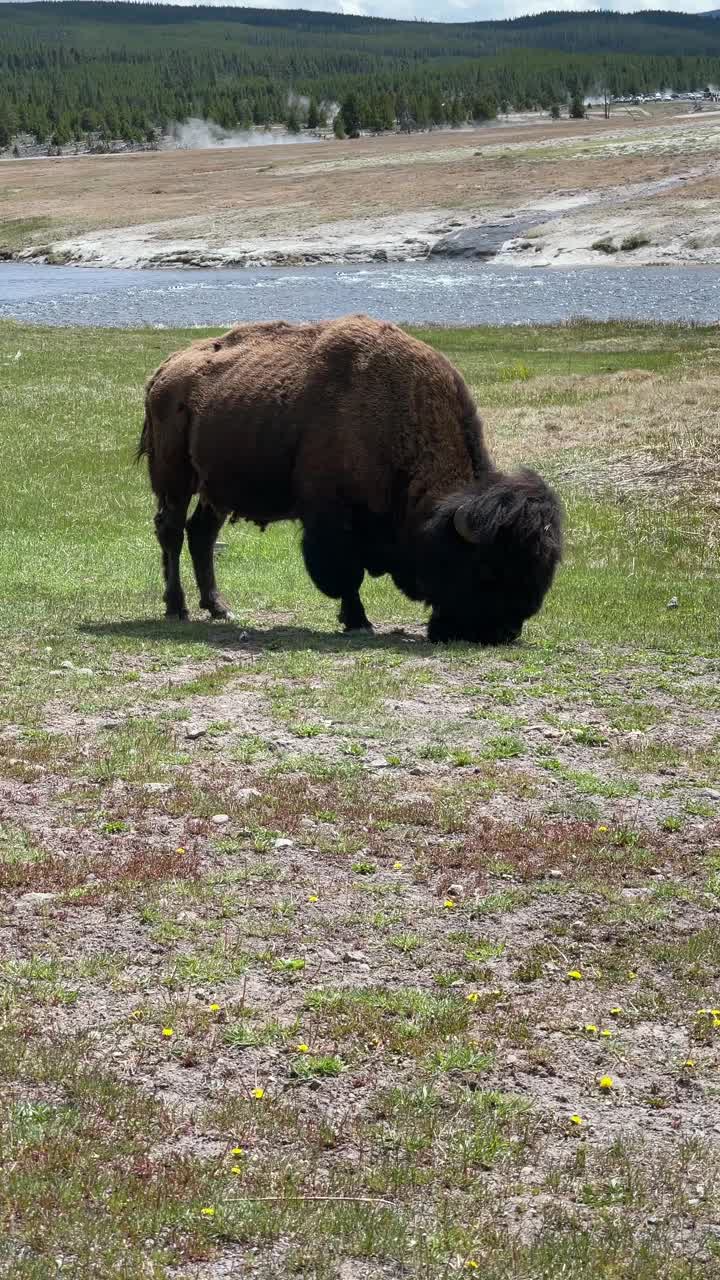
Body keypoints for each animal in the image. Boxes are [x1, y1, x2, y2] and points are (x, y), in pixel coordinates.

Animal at [134, 316, 561, 645]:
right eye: (487, 568)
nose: (500, 633)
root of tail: (164, 372)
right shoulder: (333, 521)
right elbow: (346, 576)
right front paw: (359, 621)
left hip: (216, 489)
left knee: (201, 534)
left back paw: (219, 608)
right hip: (176, 479)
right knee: (171, 531)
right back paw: (178, 608)